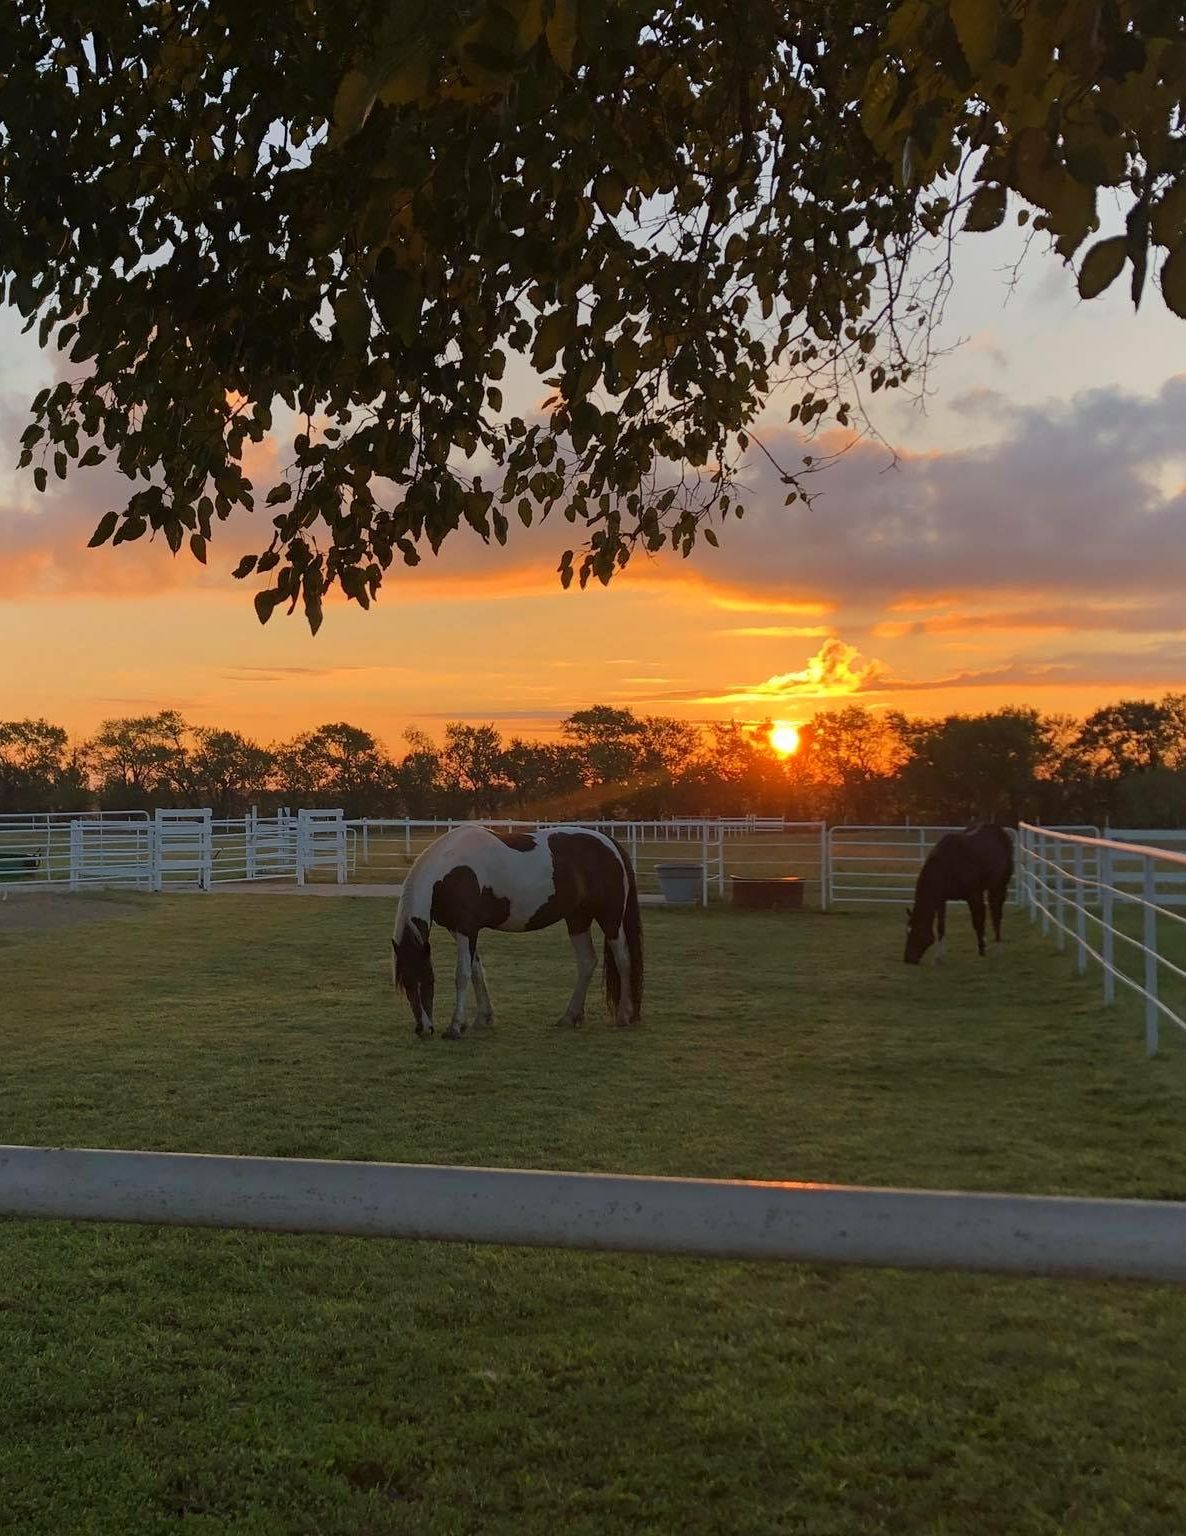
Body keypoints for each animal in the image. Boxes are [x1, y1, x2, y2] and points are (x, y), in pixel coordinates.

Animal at [393, 829, 645, 1044]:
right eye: (406, 983)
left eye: (429, 981)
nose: (424, 1029)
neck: (451, 871)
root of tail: (609, 843)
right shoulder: (460, 931)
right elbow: (476, 971)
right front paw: (482, 1018)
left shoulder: (466, 930)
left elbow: (462, 975)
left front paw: (455, 1027)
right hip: (577, 919)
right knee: (587, 962)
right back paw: (570, 1017)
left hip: (610, 919)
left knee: (623, 959)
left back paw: (623, 1015)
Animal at [903, 829, 1013, 958]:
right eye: (907, 931)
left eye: (916, 931)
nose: (908, 958)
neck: (947, 866)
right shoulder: (941, 899)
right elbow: (940, 926)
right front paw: (939, 956)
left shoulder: (972, 895)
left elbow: (978, 921)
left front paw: (982, 951)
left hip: (999, 886)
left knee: (996, 914)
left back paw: (998, 948)